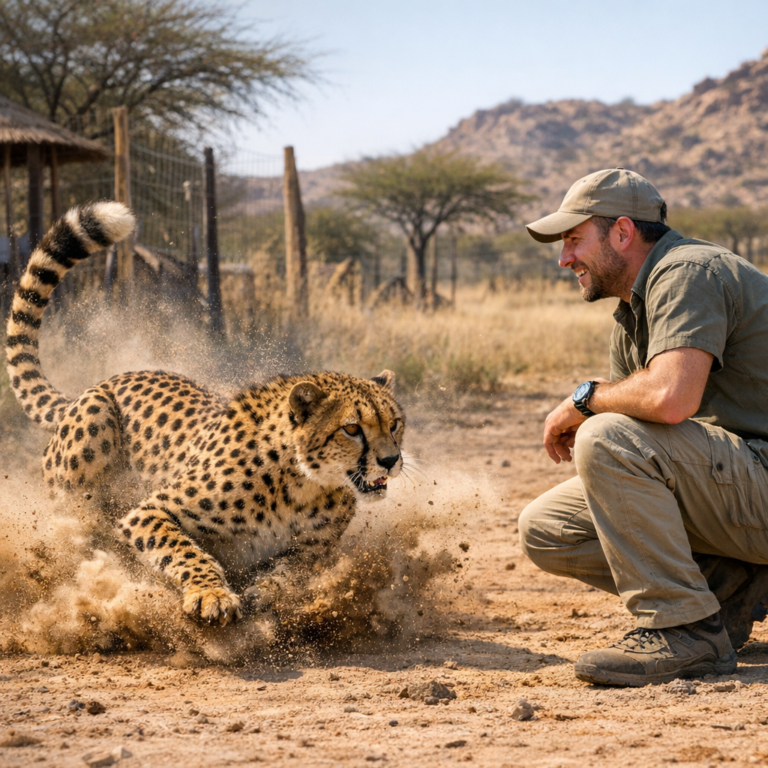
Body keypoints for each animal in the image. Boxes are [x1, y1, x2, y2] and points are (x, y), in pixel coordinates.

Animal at [5, 201, 406, 626]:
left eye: (395, 424)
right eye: (352, 429)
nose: (391, 460)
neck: (304, 484)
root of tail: (107, 379)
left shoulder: (312, 552)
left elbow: (290, 573)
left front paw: (266, 592)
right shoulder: (148, 511)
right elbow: (185, 550)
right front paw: (212, 594)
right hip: (91, 431)